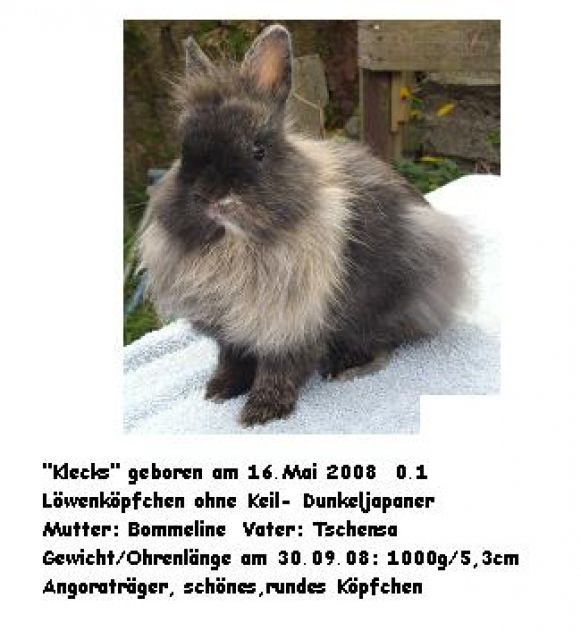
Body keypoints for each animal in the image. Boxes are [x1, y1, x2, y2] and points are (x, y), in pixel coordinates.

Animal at [138, 24, 468, 426]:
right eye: (185, 152)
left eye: (258, 150)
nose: (212, 196)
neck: (235, 246)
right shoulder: (229, 329)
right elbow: (230, 358)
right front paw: (219, 390)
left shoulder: (292, 322)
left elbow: (280, 367)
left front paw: (261, 412)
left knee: (383, 342)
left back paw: (347, 368)